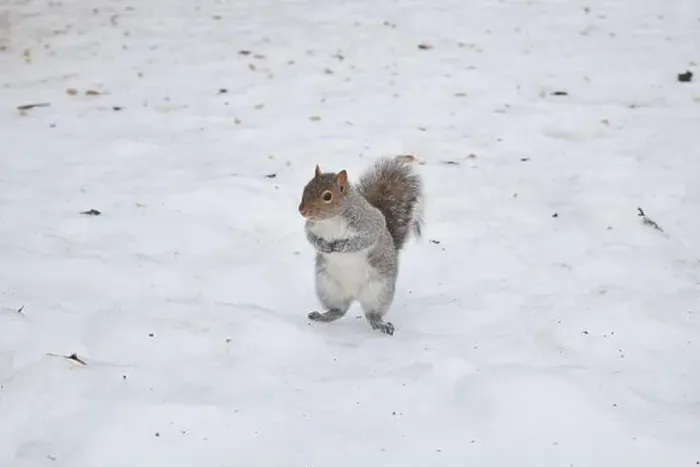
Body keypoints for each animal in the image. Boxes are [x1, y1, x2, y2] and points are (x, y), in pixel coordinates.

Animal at [298, 156, 424, 335]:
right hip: (328, 288)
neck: (331, 220)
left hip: (379, 292)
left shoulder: (369, 224)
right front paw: (322, 246)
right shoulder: (311, 226)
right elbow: (310, 237)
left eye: (327, 196)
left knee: (372, 314)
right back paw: (322, 316)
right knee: (339, 310)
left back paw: (380, 324)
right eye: (306, 188)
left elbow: (364, 240)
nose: (302, 210)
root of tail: (354, 295)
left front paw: (343, 246)